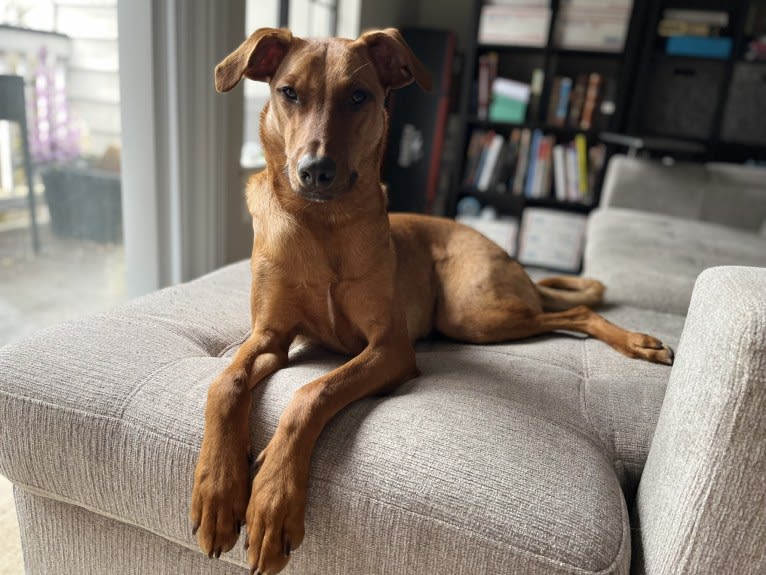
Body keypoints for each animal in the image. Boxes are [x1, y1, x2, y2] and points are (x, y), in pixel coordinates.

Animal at [190, 28, 672, 575]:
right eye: (289, 92)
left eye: (359, 96)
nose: (315, 171)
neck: (322, 225)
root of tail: (510, 259)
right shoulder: (268, 336)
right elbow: (225, 384)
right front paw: (218, 489)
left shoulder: (390, 347)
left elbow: (313, 393)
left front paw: (273, 495)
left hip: (472, 314)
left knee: (577, 312)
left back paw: (636, 341)